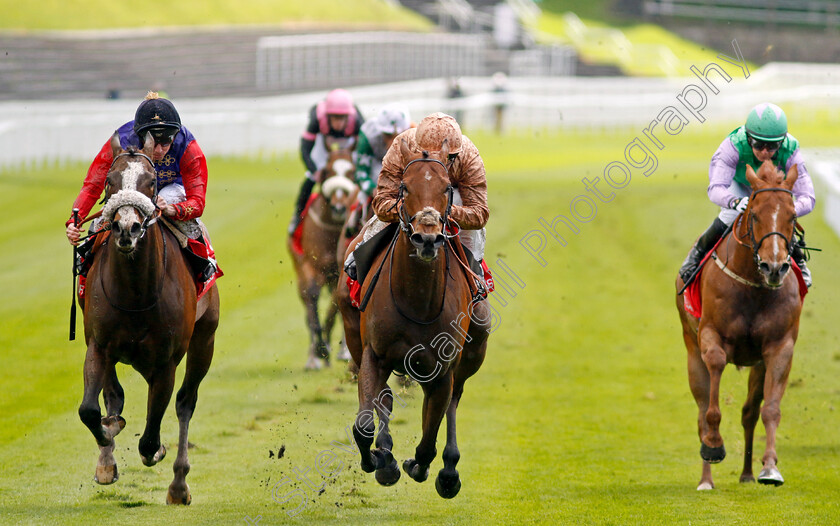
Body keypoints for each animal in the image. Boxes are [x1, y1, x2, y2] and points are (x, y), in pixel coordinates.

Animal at [79, 134, 220, 506]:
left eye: (151, 182)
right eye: (109, 182)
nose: (126, 227)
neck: (136, 292)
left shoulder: (165, 361)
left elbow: (151, 434)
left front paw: (156, 452)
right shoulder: (98, 345)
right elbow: (90, 410)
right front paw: (108, 436)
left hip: (204, 341)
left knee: (185, 402)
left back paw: (179, 485)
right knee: (113, 395)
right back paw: (108, 454)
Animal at [336, 139, 488, 500]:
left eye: (447, 188)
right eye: (404, 187)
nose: (427, 238)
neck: (417, 301)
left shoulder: (443, 370)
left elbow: (430, 437)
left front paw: (419, 466)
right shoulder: (373, 354)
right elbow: (363, 424)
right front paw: (381, 461)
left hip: (471, 354)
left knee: (453, 402)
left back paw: (449, 470)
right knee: (385, 399)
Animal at [672, 161, 804, 490]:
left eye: (792, 215)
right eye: (754, 214)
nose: (774, 267)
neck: (753, 285)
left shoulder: (779, 347)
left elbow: (769, 409)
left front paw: (769, 468)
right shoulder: (710, 336)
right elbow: (712, 399)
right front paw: (713, 446)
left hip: (757, 365)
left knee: (749, 412)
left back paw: (746, 473)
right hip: (691, 348)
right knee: (701, 411)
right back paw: (706, 479)